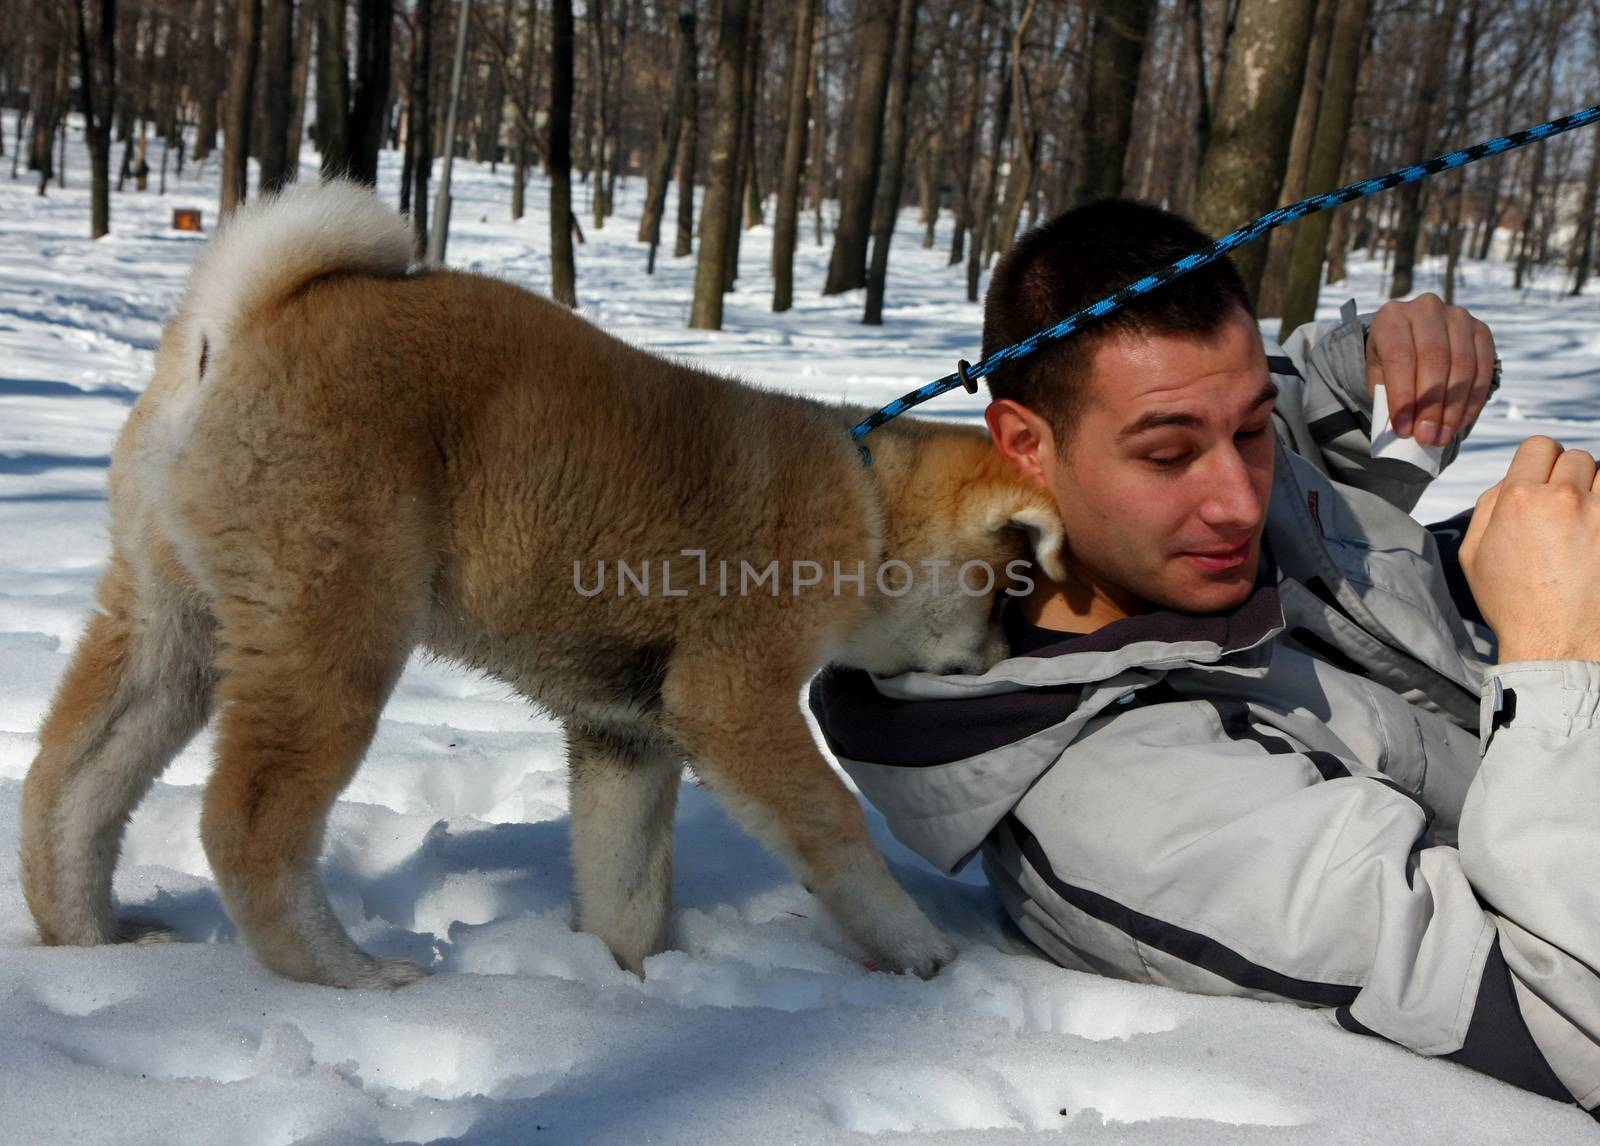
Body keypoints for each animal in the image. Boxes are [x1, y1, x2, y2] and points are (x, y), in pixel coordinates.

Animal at [18, 183, 1062, 992]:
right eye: (1008, 585)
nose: (1008, 653)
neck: (867, 503)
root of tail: (233, 325)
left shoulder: (626, 736)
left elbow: (625, 883)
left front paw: (625, 983)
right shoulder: (732, 700)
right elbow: (834, 826)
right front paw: (919, 947)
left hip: (171, 621)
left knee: (70, 786)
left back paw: (94, 944)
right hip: (330, 639)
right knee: (249, 823)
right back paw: (350, 976)